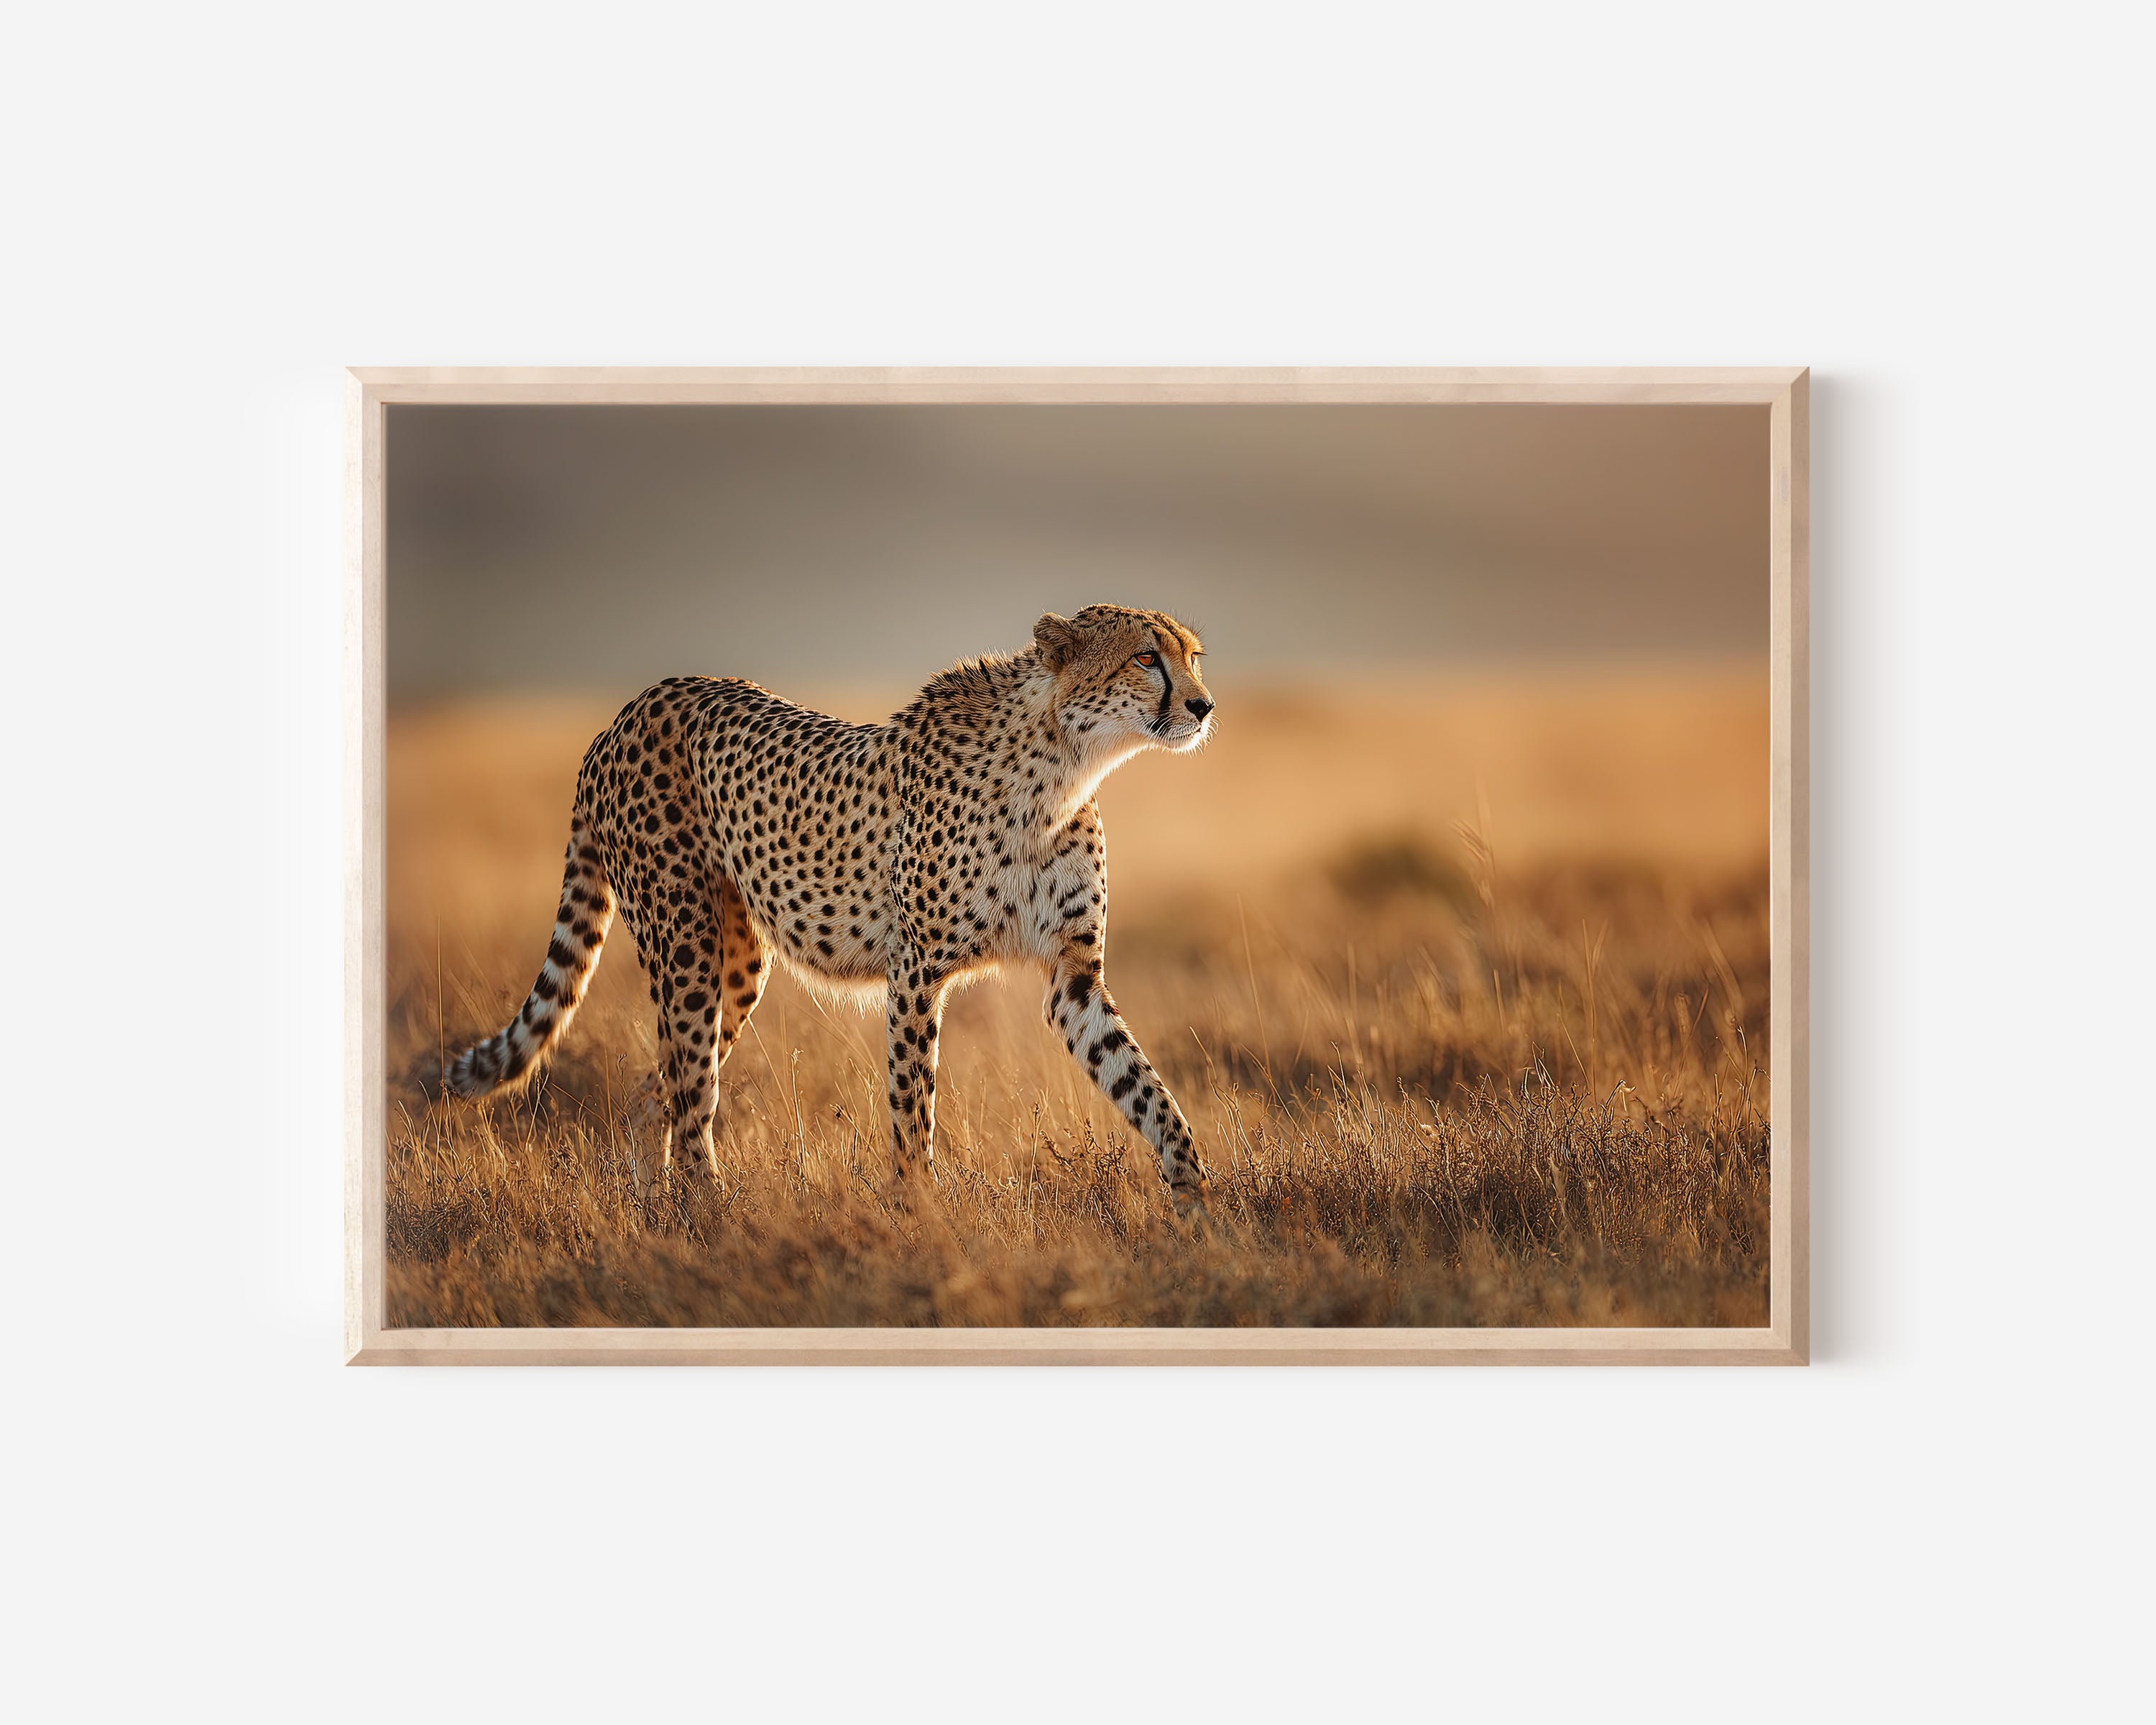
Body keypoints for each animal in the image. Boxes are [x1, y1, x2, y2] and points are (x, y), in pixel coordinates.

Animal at [444, 604, 1218, 1213]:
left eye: (1192, 658)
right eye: (1146, 657)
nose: (1203, 707)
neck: (1063, 765)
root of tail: (628, 712)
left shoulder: (1072, 979)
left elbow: (1146, 1088)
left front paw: (1194, 1199)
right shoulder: (917, 971)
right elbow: (912, 1104)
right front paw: (918, 1208)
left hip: (739, 963)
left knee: (653, 1088)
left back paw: (659, 1205)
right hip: (686, 945)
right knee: (689, 1089)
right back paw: (706, 1209)